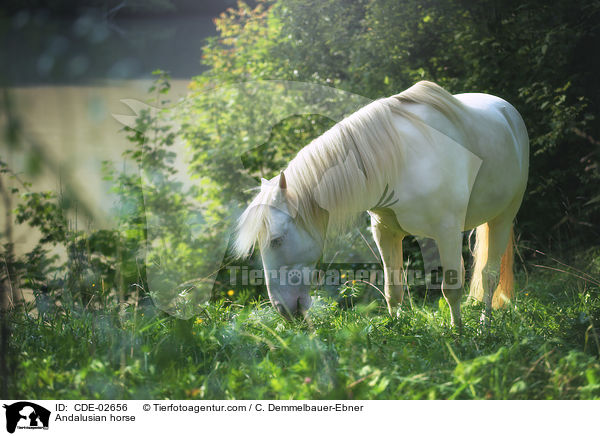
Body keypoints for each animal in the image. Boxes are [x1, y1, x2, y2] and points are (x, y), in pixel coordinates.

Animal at [232, 81, 528, 328]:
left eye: (277, 240)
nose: (283, 310)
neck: (400, 161)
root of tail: (506, 109)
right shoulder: (386, 233)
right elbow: (392, 289)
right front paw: (396, 329)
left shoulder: (447, 232)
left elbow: (451, 289)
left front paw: (458, 334)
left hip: (503, 216)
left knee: (489, 277)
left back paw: (484, 325)